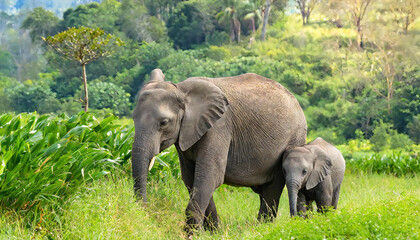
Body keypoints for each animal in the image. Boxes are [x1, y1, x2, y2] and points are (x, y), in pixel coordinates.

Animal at [133, 68, 306, 233]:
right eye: (133, 118)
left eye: (164, 122)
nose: (146, 212)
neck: (181, 91)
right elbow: (192, 178)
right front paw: (214, 232)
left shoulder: (219, 127)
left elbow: (209, 176)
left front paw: (191, 234)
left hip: (293, 139)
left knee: (273, 187)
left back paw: (261, 228)